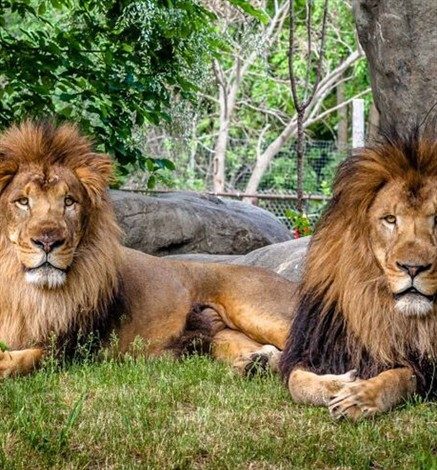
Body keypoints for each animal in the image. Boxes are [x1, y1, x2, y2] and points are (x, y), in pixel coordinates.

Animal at [0, 120, 296, 378]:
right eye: (23, 201)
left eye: (69, 201)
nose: (48, 242)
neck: (24, 289)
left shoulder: (72, 347)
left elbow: (27, 358)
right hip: (223, 337)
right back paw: (256, 364)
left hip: (258, 311)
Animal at [280, 126, 436, 420]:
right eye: (390, 219)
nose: (412, 268)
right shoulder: (316, 348)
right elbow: (297, 382)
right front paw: (338, 382)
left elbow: (399, 376)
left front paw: (359, 397)